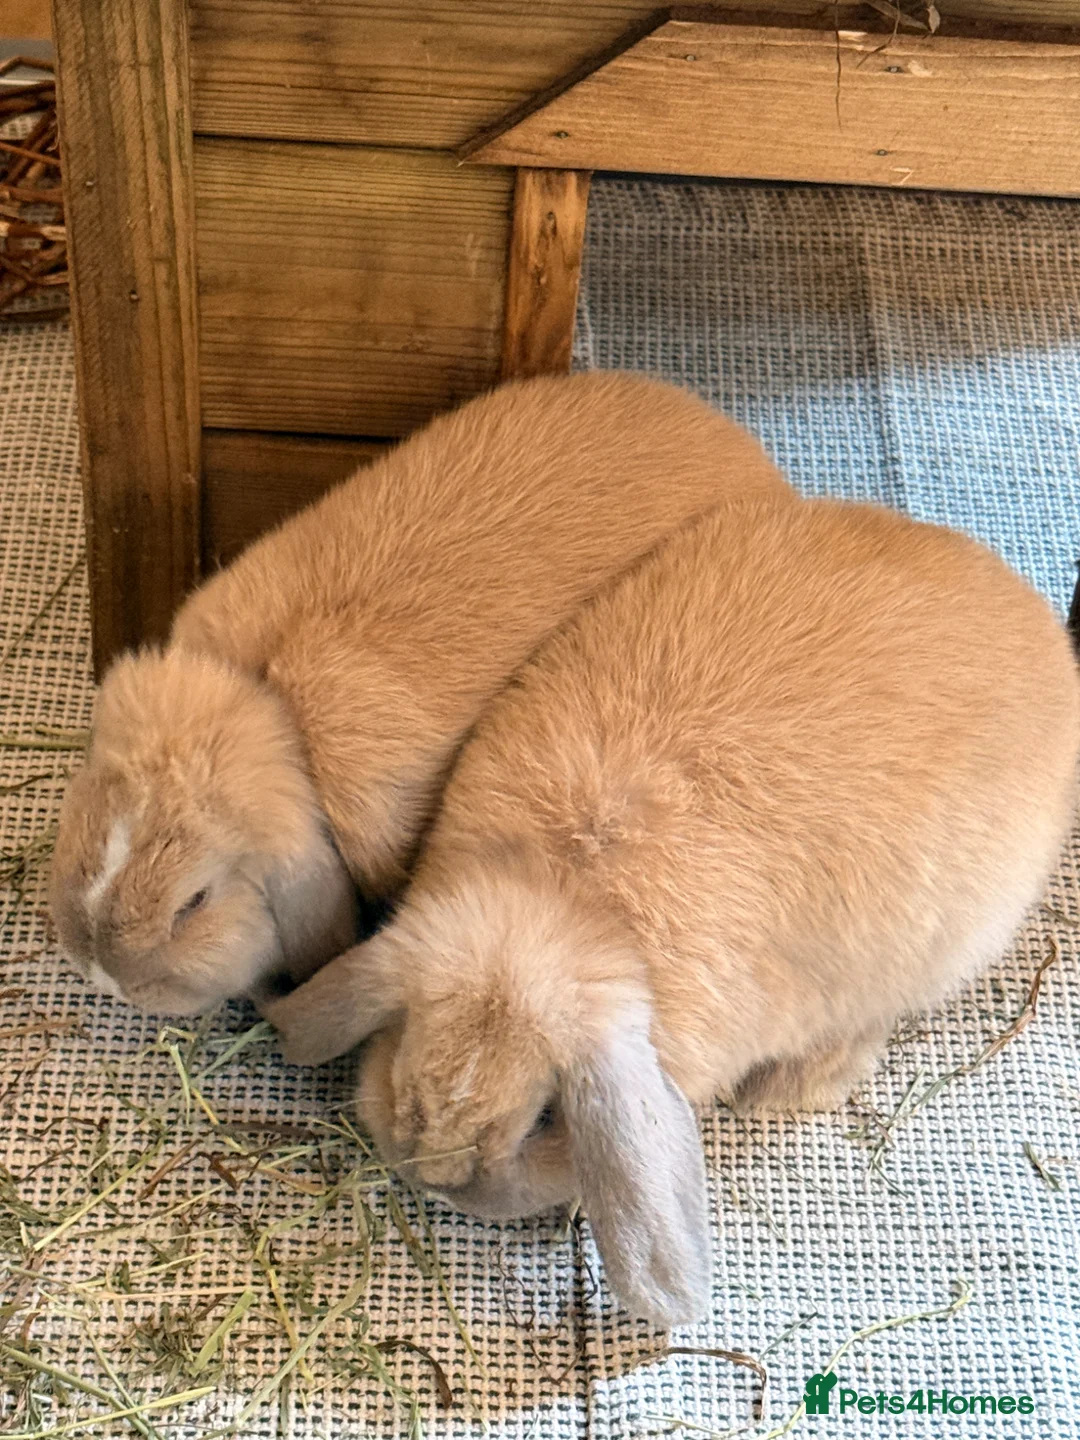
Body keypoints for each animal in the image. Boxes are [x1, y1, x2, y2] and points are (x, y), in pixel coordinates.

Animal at [262, 495, 1080, 1327]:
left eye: (549, 1119)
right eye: (401, 1038)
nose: (438, 1176)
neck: (566, 901)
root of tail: (1029, 611)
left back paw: (787, 1089)